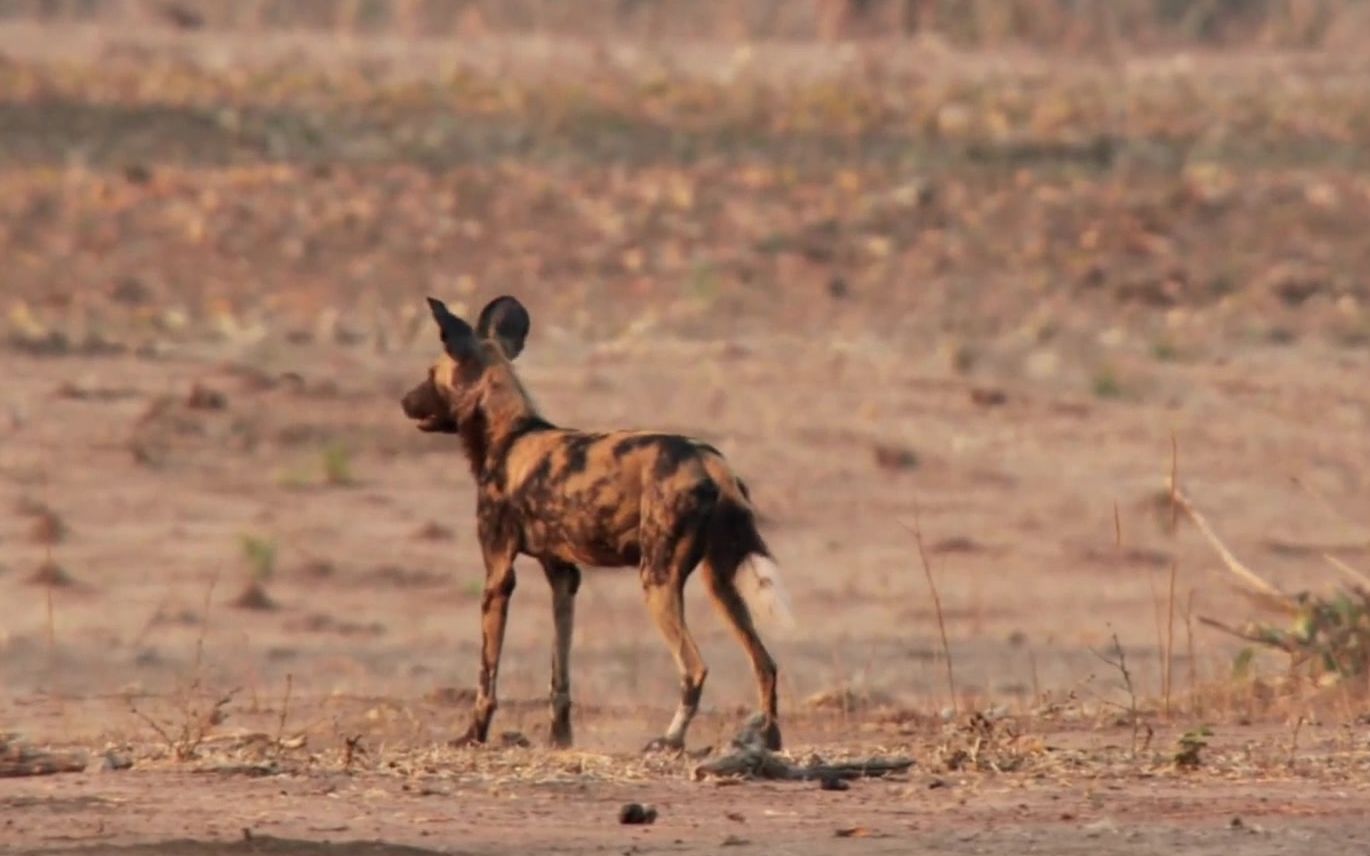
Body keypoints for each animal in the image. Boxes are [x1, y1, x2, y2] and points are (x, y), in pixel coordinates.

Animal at [400, 297, 789, 750]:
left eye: (430, 374)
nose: (405, 400)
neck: (510, 435)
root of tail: (711, 462)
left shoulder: (498, 574)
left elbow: (486, 675)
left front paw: (473, 735)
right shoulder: (563, 576)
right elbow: (560, 672)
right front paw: (559, 739)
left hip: (656, 581)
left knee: (695, 668)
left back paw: (669, 740)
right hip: (721, 585)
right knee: (765, 663)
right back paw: (769, 738)